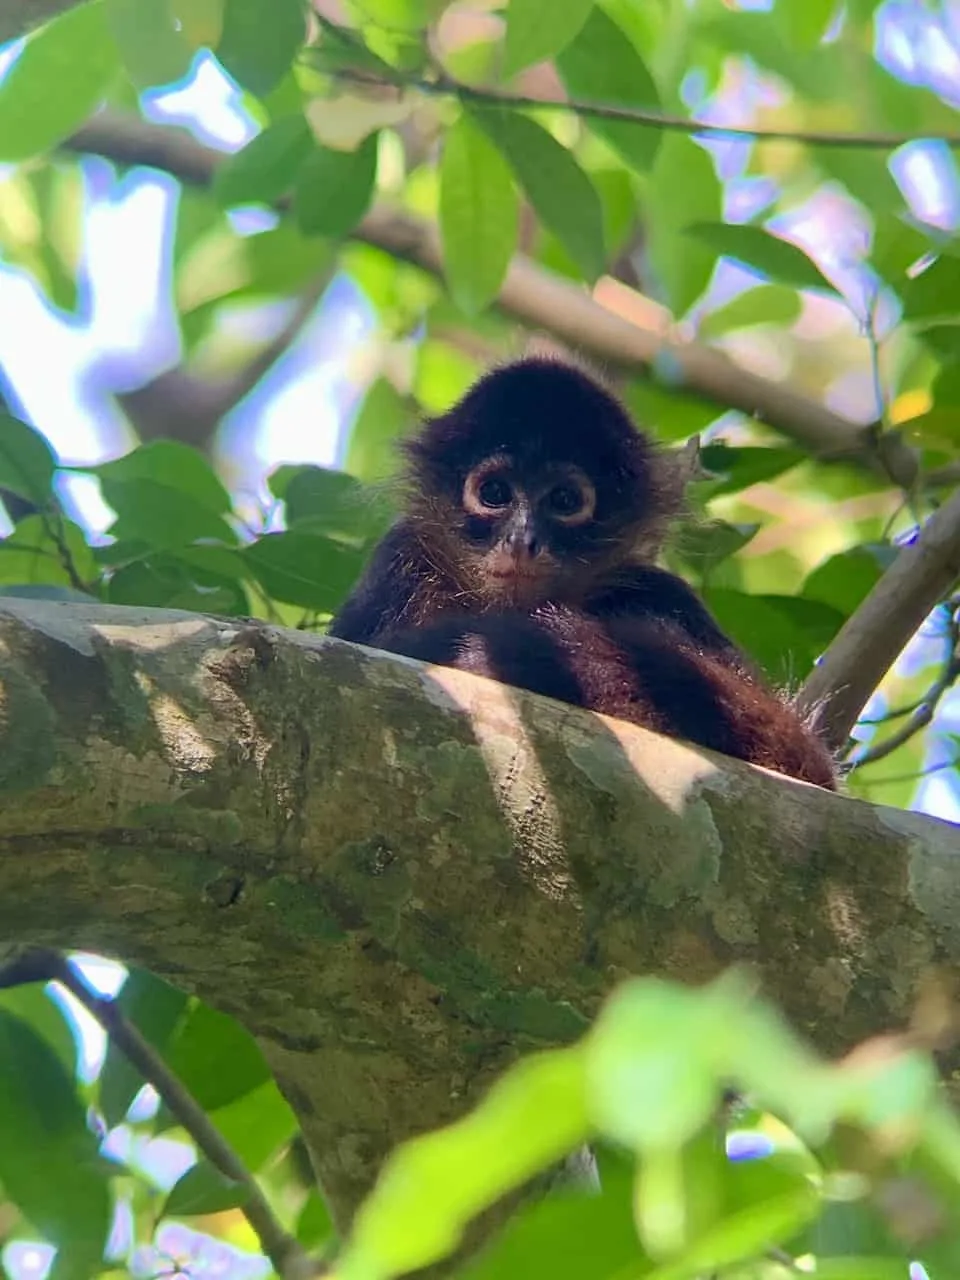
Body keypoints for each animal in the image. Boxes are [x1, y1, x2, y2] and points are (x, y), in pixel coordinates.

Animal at [330, 355, 834, 783]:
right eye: (494, 493)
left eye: (565, 500)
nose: (522, 541)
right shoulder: (399, 562)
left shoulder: (663, 590)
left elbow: (807, 765)